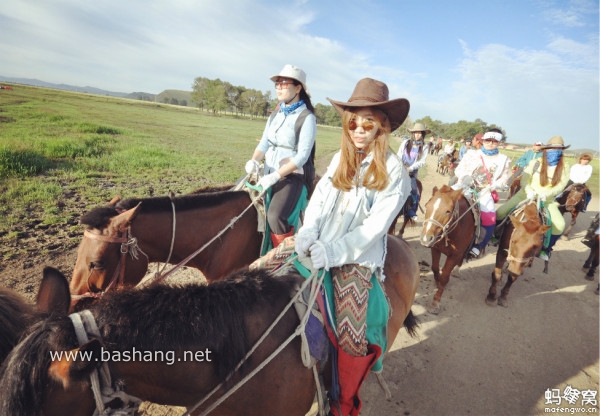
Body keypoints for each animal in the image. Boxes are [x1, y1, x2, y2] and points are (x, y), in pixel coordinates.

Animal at [420, 184, 476, 314]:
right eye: (427, 206)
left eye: (447, 211)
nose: (426, 238)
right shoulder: (435, 248)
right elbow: (435, 268)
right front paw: (437, 282)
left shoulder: (455, 255)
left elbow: (445, 276)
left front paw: (435, 301)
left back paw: (456, 271)